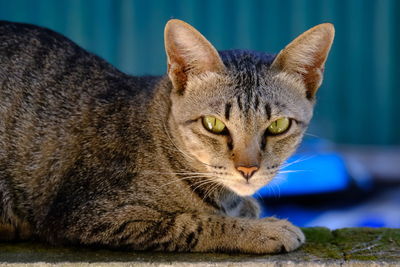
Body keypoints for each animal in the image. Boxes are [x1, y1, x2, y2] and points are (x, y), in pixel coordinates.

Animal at [0, 19, 334, 254]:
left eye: (278, 126)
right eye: (214, 124)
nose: (247, 170)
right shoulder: (87, 214)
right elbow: (193, 223)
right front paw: (263, 230)